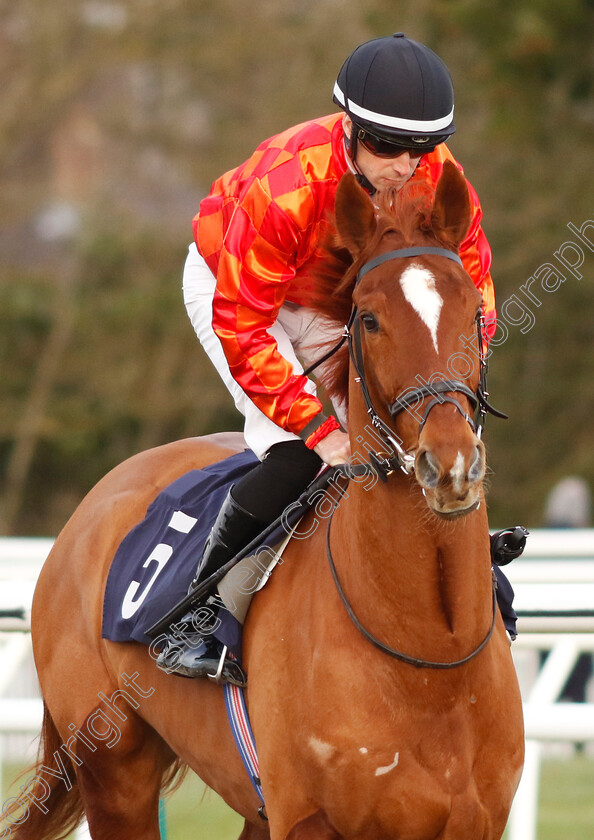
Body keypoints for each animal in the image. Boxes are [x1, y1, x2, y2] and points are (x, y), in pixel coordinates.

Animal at [3, 164, 524, 840]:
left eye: (473, 310)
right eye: (369, 318)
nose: (449, 463)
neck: (433, 658)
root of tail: (93, 506)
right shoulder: (308, 821)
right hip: (114, 770)